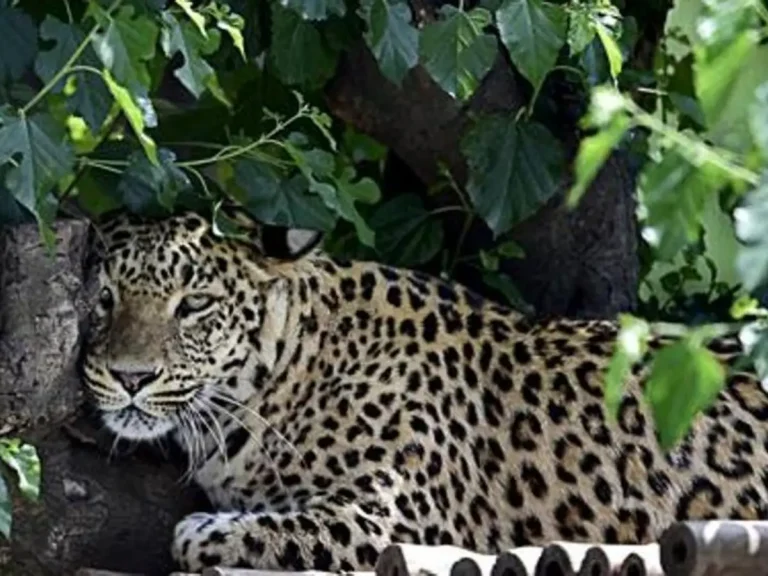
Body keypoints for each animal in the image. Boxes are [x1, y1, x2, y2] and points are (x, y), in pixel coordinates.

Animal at [81, 212, 768, 572]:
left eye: (194, 305)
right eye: (104, 298)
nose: (131, 376)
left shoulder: (401, 519)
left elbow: (234, 532)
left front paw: (206, 529)